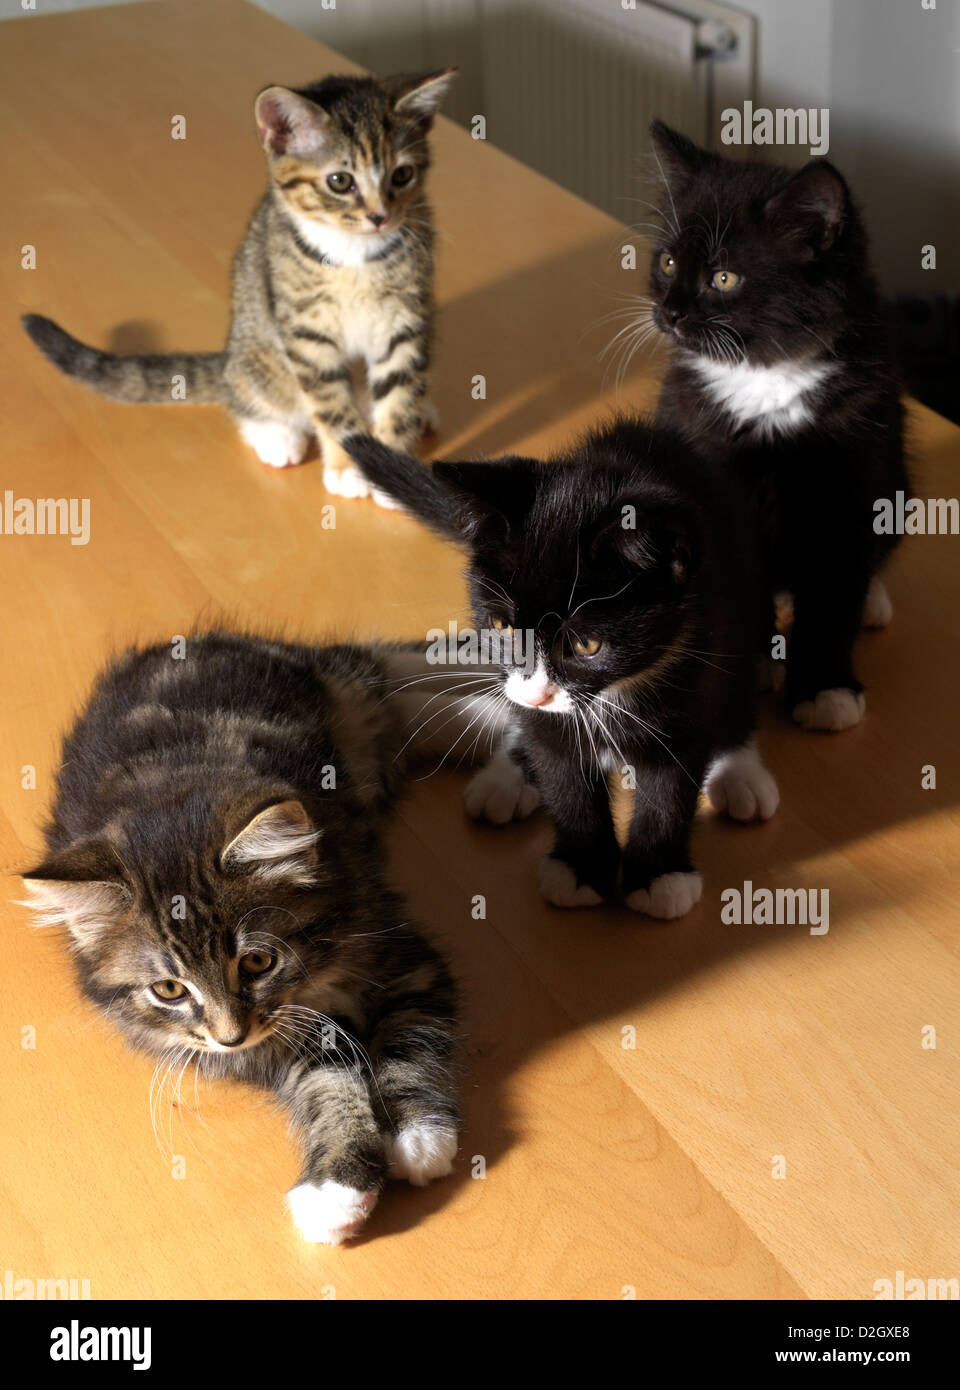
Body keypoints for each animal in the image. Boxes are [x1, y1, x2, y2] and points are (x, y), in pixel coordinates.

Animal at [20, 70, 455, 503]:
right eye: (340, 181)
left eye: (402, 175)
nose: (380, 216)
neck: (355, 255)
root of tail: (229, 355)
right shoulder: (305, 333)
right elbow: (330, 403)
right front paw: (350, 466)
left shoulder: (405, 319)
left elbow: (399, 392)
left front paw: (396, 470)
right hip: (260, 354)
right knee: (246, 395)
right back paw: (277, 436)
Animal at [20, 631, 489, 1251]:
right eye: (169, 989)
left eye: (258, 962)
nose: (229, 1037)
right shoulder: (283, 1046)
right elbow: (329, 1087)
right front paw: (337, 1189)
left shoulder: (406, 958)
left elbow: (410, 1045)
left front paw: (417, 1136)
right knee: (413, 704)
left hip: (345, 687)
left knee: (403, 676)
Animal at [345, 422, 783, 922]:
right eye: (502, 627)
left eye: (586, 645)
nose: (537, 694)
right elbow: (560, 767)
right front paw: (581, 866)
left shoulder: (693, 661)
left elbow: (670, 784)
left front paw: (657, 876)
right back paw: (507, 776)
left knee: (735, 693)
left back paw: (740, 771)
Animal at [644, 116, 911, 739]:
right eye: (667, 264)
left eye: (723, 278)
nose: (669, 312)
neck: (767, 382)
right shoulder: (700, 440)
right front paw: (754, 661)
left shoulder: (854, 464)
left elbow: (836, 585)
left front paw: (825, 690)